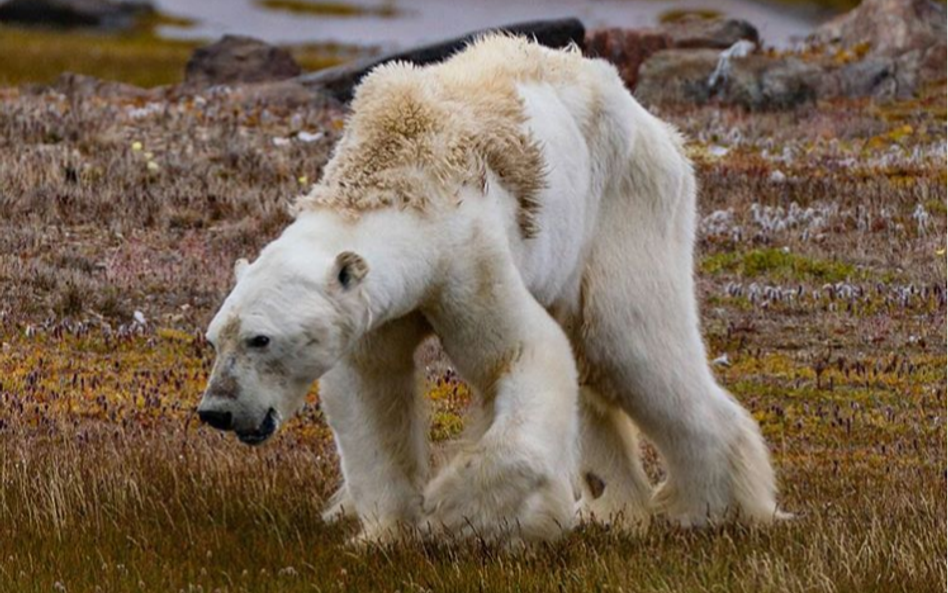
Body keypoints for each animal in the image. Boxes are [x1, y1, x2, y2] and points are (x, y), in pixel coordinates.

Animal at [196, 34, 780, 544]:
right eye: (215, 337)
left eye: (261, 338)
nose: (216, 411)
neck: (395, 175)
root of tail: (657, 126)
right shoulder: (375, 309)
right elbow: (370, 391)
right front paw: (383, 532)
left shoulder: (466, 257)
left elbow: (523, 354)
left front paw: (456, 512)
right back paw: (613, 507)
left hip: (624, 207)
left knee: (632, 346)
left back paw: (712, 508)